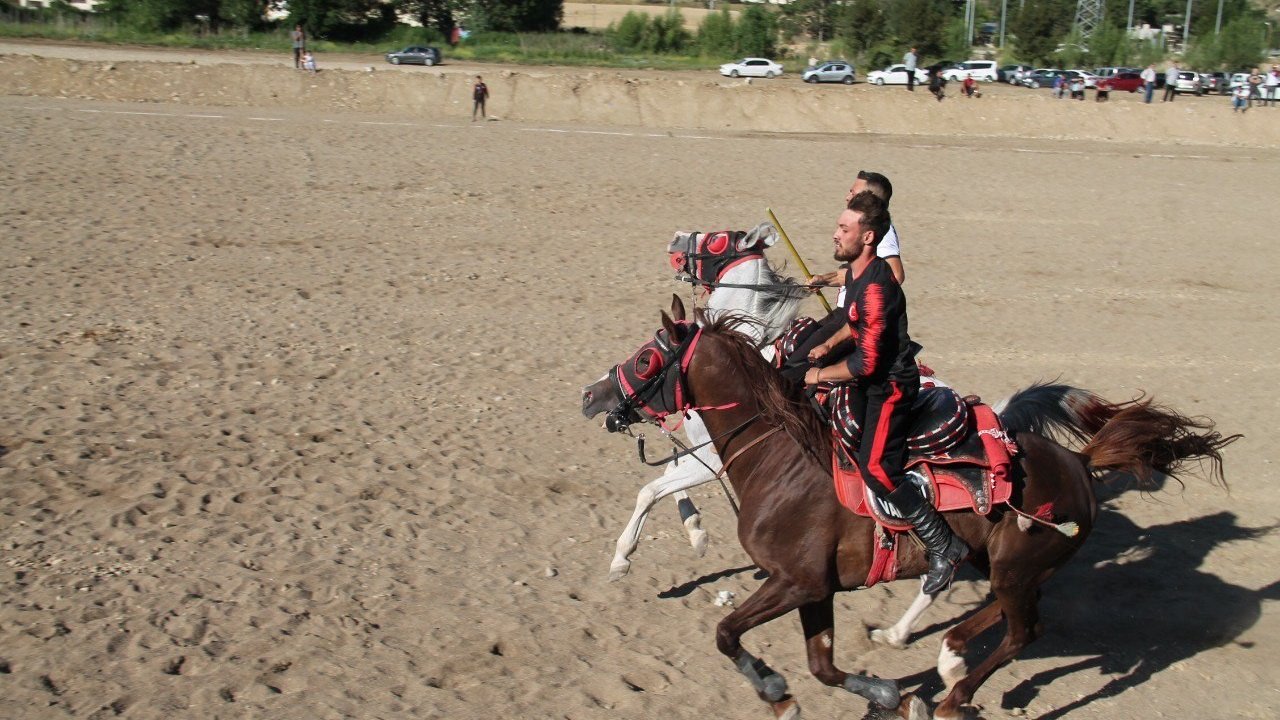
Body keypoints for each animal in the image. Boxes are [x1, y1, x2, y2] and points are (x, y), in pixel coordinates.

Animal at [583, 294, 1239, 712]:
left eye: (646, 358)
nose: (593, 395)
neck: (781, 460)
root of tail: (1080, 462)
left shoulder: (795, 581)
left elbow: (726, 633)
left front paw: (772, 687)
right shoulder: (814, 588)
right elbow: (821, 666)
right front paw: (882, 695)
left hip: (1014, 567)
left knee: (1021, 628)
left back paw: (952, 686)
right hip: (1008, 566)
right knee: (1004, 616)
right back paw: (943, 660)